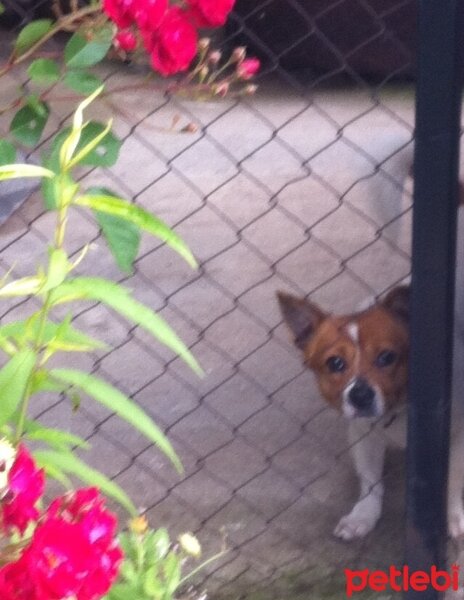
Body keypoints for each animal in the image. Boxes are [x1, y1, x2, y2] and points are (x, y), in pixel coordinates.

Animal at [278, 207, 462, 544]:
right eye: (335, 363)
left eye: (387, 357)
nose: (360, 394)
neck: (399, 408)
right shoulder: (362, 432)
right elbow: (370, 480)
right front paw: (363, 515)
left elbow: (455, 477)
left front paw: (454, 516)